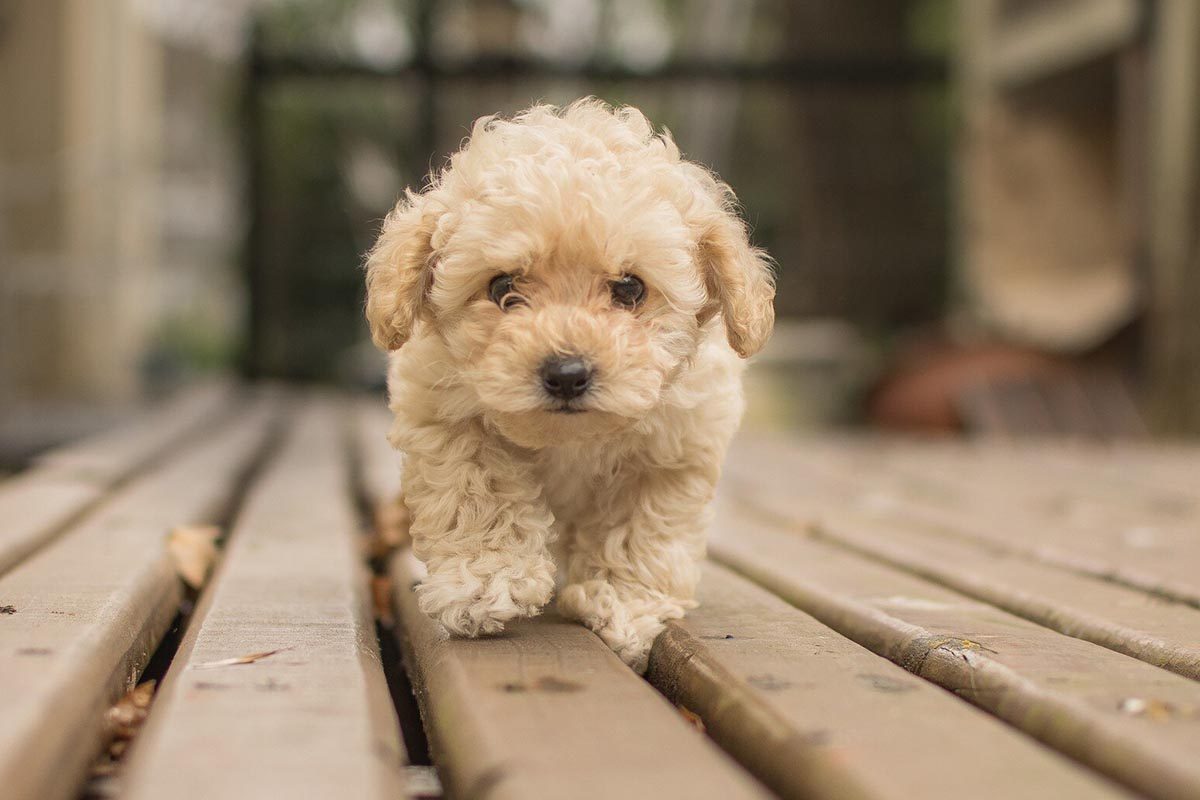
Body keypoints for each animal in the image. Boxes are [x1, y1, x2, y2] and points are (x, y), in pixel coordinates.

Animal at [364, 101, 777, 676]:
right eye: (501, 287)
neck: (571, 439)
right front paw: (483, 583)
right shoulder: (447, 418)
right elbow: (479, 494)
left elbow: (638, 528)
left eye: (630, 289)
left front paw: (621, 602)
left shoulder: (672, 449)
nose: (566, 373)